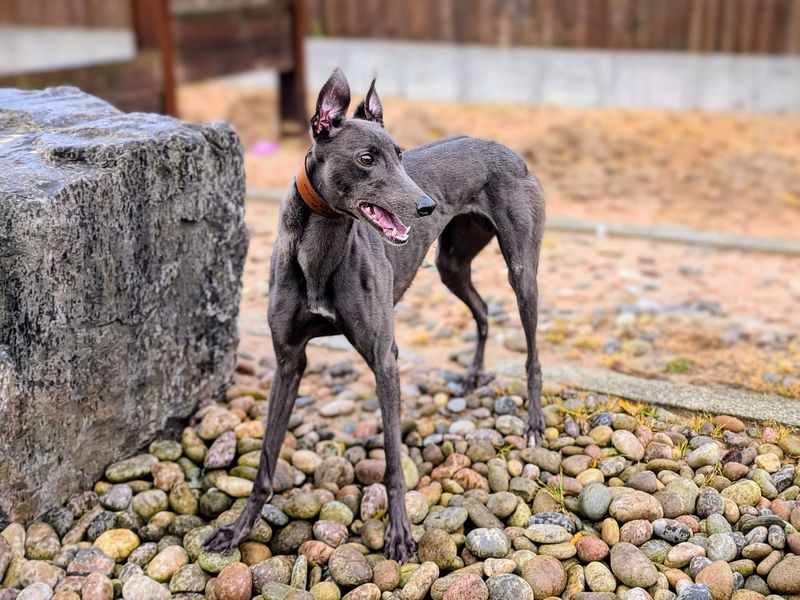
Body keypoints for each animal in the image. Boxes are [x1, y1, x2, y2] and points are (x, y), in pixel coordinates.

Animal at [203, 70, 548, 564]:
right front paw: (238, 528)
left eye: (400, 155)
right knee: (482, 311)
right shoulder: (288, 360)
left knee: (532, 353)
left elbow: (392, 462)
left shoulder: (385, 357)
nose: (426, 206)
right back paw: (473, 374)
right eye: (367, 159)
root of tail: (510, 150)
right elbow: (267, 456)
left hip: (521, 273)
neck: (321, 250)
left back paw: (533, 424)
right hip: (451, 265)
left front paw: (399, 533)